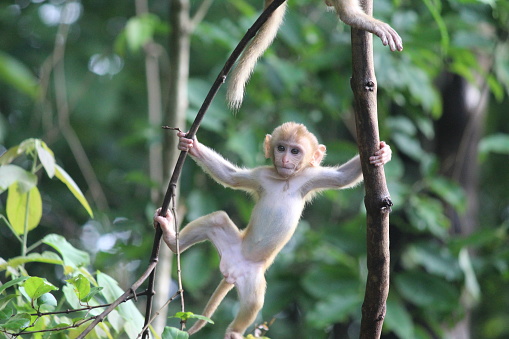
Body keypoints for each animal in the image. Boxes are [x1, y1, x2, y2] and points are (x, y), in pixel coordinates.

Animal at [153, 123, 390, 339]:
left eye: (295, 151)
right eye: (281, 148)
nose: (284, 159)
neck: (285, 180)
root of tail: (230, 270)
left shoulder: (309, 177)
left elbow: (342, 177)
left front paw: (382, 154)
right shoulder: (261, 176)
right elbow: (231, 177)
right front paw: (190, 145)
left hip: (252, 278)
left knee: (254, 302)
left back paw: (234, 332)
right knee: (216, 220)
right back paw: (171, 239)